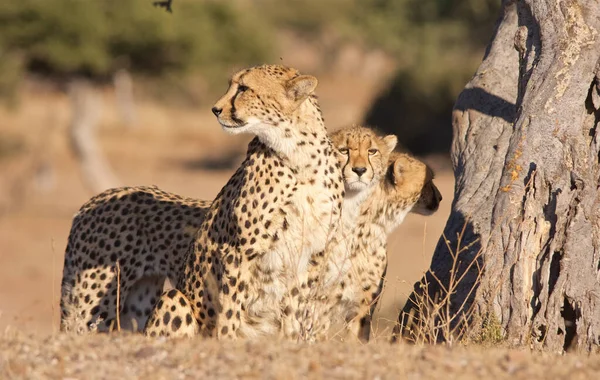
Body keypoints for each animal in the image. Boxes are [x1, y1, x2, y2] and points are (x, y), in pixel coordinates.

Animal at [142, 63, 344, 340]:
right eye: (231, 85)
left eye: (244, 89)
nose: (215, 109)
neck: (300, 157)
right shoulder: (237, 253)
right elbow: (230, 314)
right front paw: (227, 342)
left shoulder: (311, 257)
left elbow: (296, 315)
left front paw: (293, 343)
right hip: (175, 297)